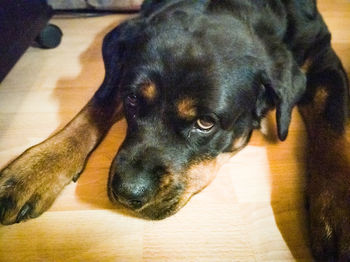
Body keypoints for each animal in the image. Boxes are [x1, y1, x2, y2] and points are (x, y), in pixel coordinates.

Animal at [0, 0, 350, 260]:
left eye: (205, 123)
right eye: (132, 99)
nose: (128, 193)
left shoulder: (321, 55)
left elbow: (335, 122)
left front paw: (337, 211)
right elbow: (96, 105)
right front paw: (36, 168)